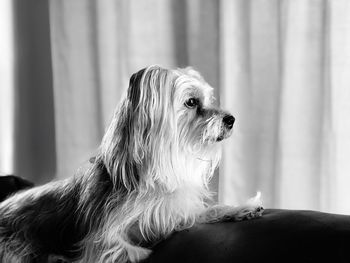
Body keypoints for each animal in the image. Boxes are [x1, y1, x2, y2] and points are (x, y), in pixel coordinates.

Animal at [0, 65, 262, 262]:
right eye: (191, 102)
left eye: (208, 99)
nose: (231, 119)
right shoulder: (100, 235)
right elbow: (110, 246)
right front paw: (141, 253)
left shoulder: (173, 213)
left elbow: (208, 211)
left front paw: (241, 208)